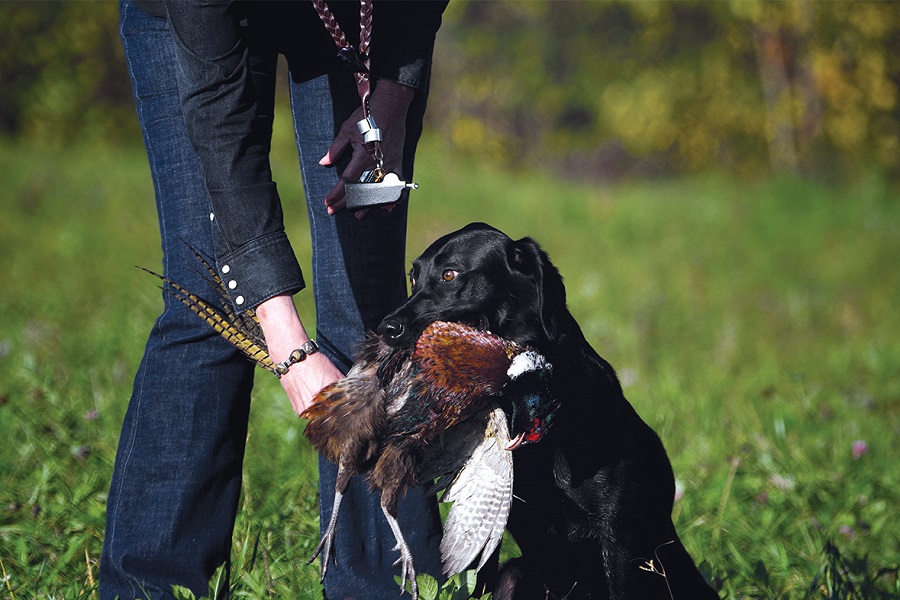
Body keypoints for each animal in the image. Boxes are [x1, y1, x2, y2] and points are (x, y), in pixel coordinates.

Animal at [378, 224, 716, 600]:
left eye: (450, 274)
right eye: (414, 277)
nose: (387, 328)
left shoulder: (620, 538)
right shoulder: (490, 533)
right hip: (516, 573)